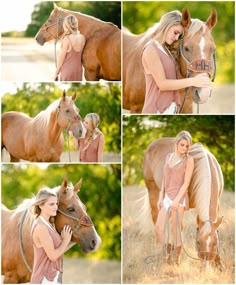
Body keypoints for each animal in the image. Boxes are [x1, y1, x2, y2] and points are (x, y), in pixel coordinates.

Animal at [143, 139, 224, 268]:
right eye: (198, 242)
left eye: (215, 243)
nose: (205, 265)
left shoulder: (216, 205)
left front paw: (219, 264)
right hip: (154, 194)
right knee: (157, 220)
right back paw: (166, 254)